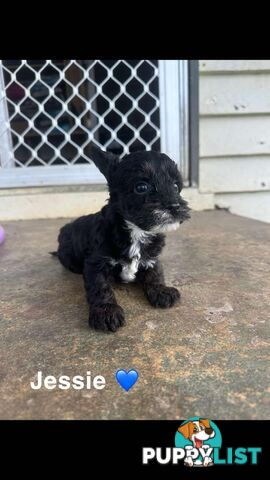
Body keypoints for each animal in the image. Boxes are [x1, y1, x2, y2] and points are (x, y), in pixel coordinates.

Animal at [54, 146, 190, 332]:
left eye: (176, 186)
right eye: (141, 187)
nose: (175, 207)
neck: (136, 232)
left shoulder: (152, 258)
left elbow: (155, 274)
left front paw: (162, 291)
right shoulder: (95, 263)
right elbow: (101, 287)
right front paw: (106, 312)